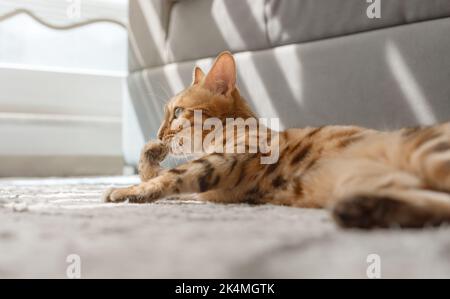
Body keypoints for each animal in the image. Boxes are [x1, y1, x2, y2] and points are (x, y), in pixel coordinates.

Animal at [103, 52, 450, 230]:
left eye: (176, 112)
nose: (159, 133)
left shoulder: (222, 165)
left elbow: (168, 177)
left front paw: (123, 190)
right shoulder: (211, 191)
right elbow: (157, 174)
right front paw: (151, 151)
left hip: (427, 153)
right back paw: (364, 209)